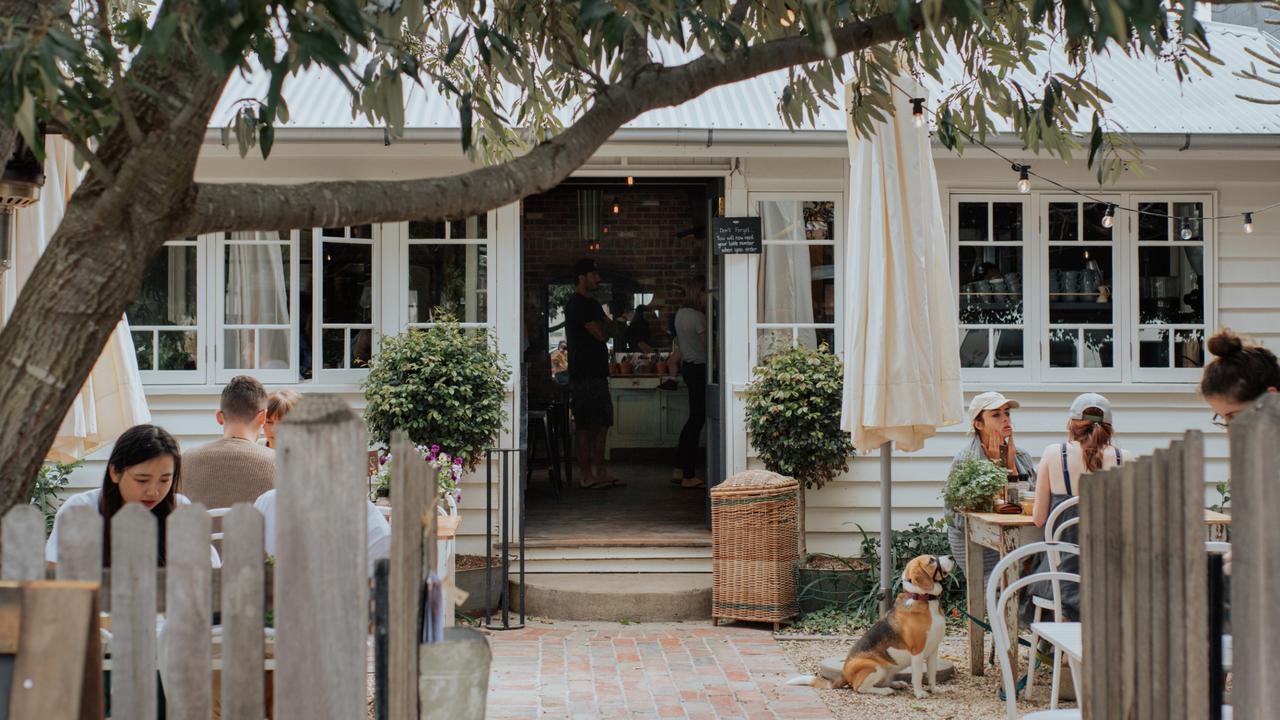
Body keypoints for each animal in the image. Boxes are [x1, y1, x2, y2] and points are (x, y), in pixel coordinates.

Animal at [783, 550, 957, 696]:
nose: (951, 557)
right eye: (931, 561)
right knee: (860, 687)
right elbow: (918, 676)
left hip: (888, 669)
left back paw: (896, 684)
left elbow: (932, 674)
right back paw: (885, 691)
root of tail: (843, 673)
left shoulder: (933, 650)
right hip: (876, 668)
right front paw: (920, 693)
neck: (924, 598)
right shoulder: (917, 652)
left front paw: (934, 690)